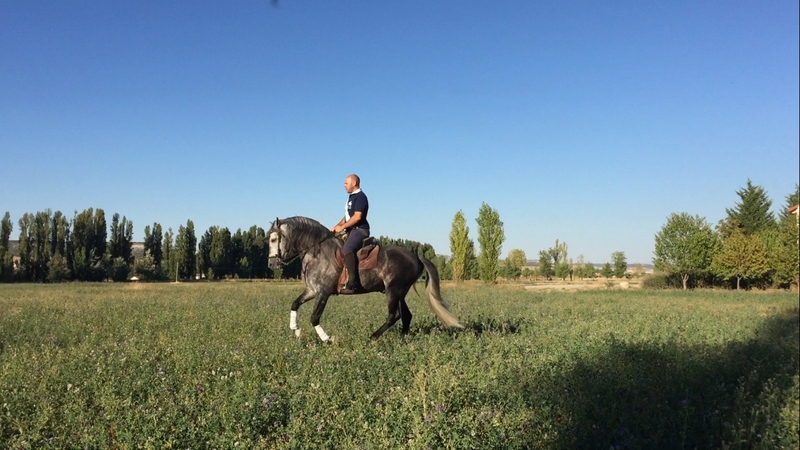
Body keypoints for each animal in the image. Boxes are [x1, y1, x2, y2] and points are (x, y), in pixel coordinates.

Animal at [267, 216, 462, 341]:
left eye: (274, 239)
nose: (272, 264)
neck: (317, 252)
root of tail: (416, 256)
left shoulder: (323, 292)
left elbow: (314, 317)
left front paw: (327, 339)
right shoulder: (311, 290)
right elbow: (294, 304)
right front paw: (296, 330)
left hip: (393, 290)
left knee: (394, 315)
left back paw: (373, 337)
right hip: (400, 292)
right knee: (406, 315)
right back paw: (402, 340)